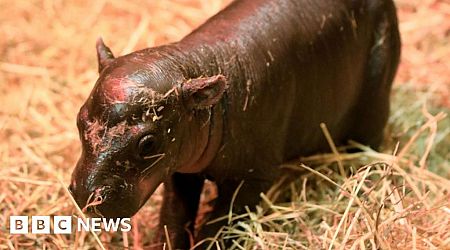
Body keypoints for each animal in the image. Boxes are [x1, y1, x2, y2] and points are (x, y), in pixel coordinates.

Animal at [67, 0, 400, 248]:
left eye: (148, 143)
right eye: (80, 119)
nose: (85, 193)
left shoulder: (253, 177)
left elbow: (220, 224)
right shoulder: (179, 168)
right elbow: (174, 216)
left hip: (375, 98)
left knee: (368, 140)